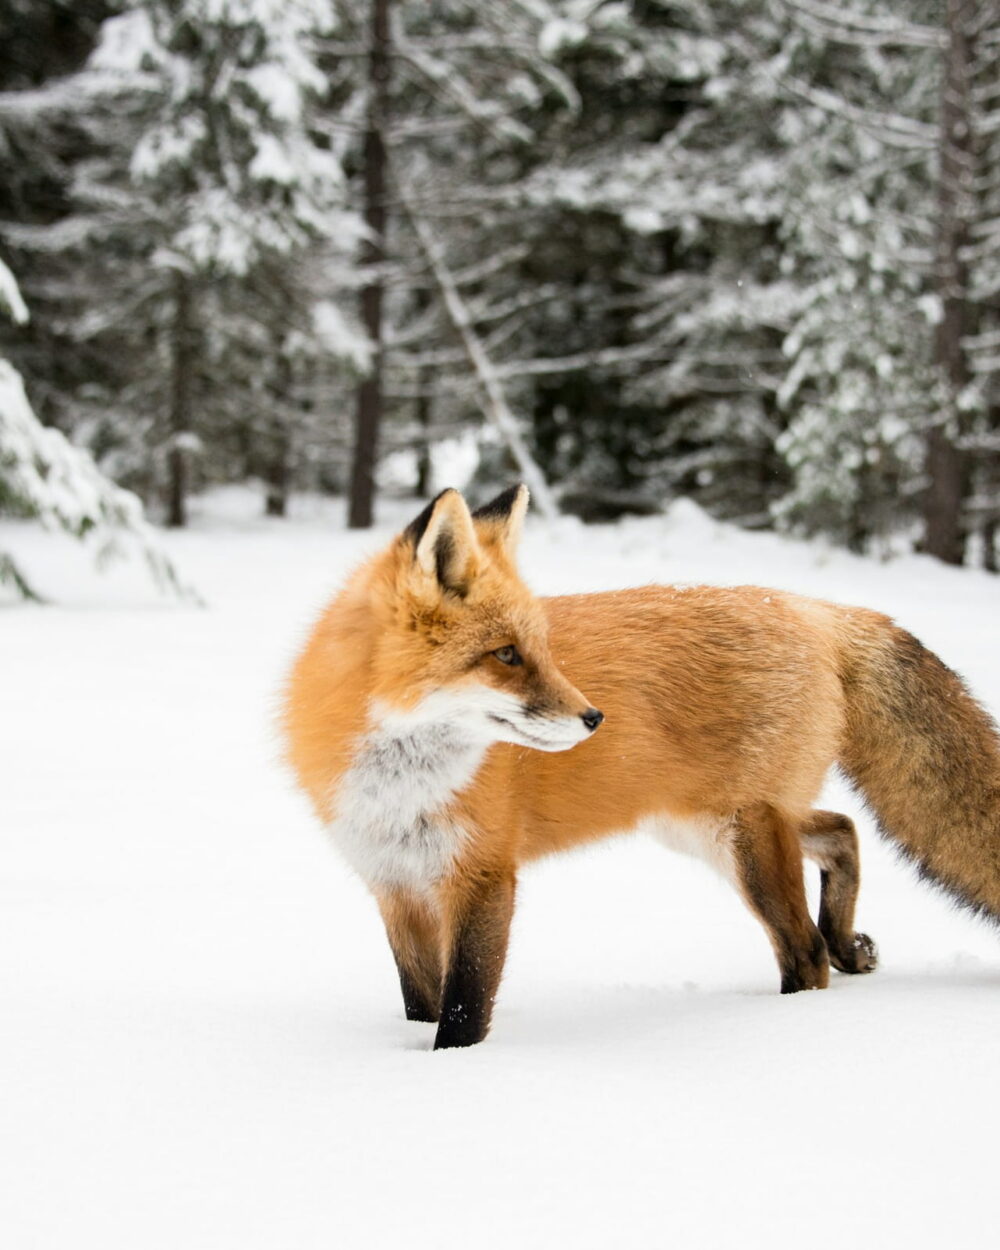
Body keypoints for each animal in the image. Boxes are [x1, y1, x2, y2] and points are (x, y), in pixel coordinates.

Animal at [283, 483, 1000, 1049]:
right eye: (507, 655)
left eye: (540, 650)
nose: (594, 718)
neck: (401, 788)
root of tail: (810, 607)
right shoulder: (394, 884)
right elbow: (420, 1003)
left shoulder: (482, 877)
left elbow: (461, 1012)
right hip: (703, 826)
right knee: (843, 831)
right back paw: (849, 943)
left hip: (743, 838)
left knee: (805, 949)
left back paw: (791, 1013)